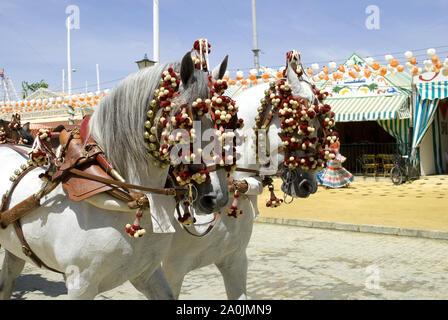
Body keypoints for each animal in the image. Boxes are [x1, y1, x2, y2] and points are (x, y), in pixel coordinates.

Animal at [0, 51, 231, 298]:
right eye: (185, 122)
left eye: (223, 123)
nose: (217, 198)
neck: (126, 194)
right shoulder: (80, 284)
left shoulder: (147, 273)